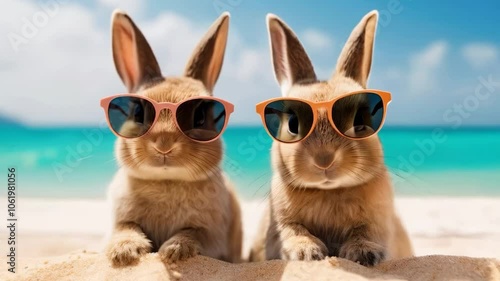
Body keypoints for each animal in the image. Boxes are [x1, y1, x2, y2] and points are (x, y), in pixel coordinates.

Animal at [106, 10, 243, 264]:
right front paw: (125, 252)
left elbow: (192, 233)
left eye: (200, 116)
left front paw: (174, 251)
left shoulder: (210, 233)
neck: (166, 180)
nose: (164, 145)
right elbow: (126, 227)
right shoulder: (121, 220)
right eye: (138, 112)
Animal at [248, 10, 412, 264]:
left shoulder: (378, 221)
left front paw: (363, 254)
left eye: (360, 119)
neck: (329, 191)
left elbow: (367, 232)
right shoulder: (281, 225)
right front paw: (308, 253)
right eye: (293, 124)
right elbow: (293, 232)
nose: (324, 159)